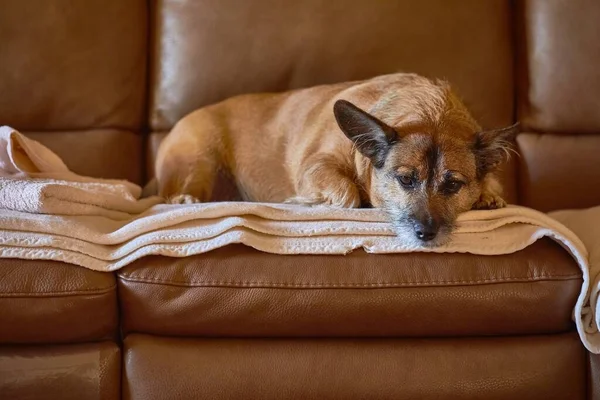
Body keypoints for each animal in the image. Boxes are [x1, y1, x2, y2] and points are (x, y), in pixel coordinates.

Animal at [152, 73, 516, 245]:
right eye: (405, 179)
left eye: (453, 185)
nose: (425, 234)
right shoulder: (316, 165)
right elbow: (348, 194)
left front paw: (487, 195)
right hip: (198, 162)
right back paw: (183, 199)